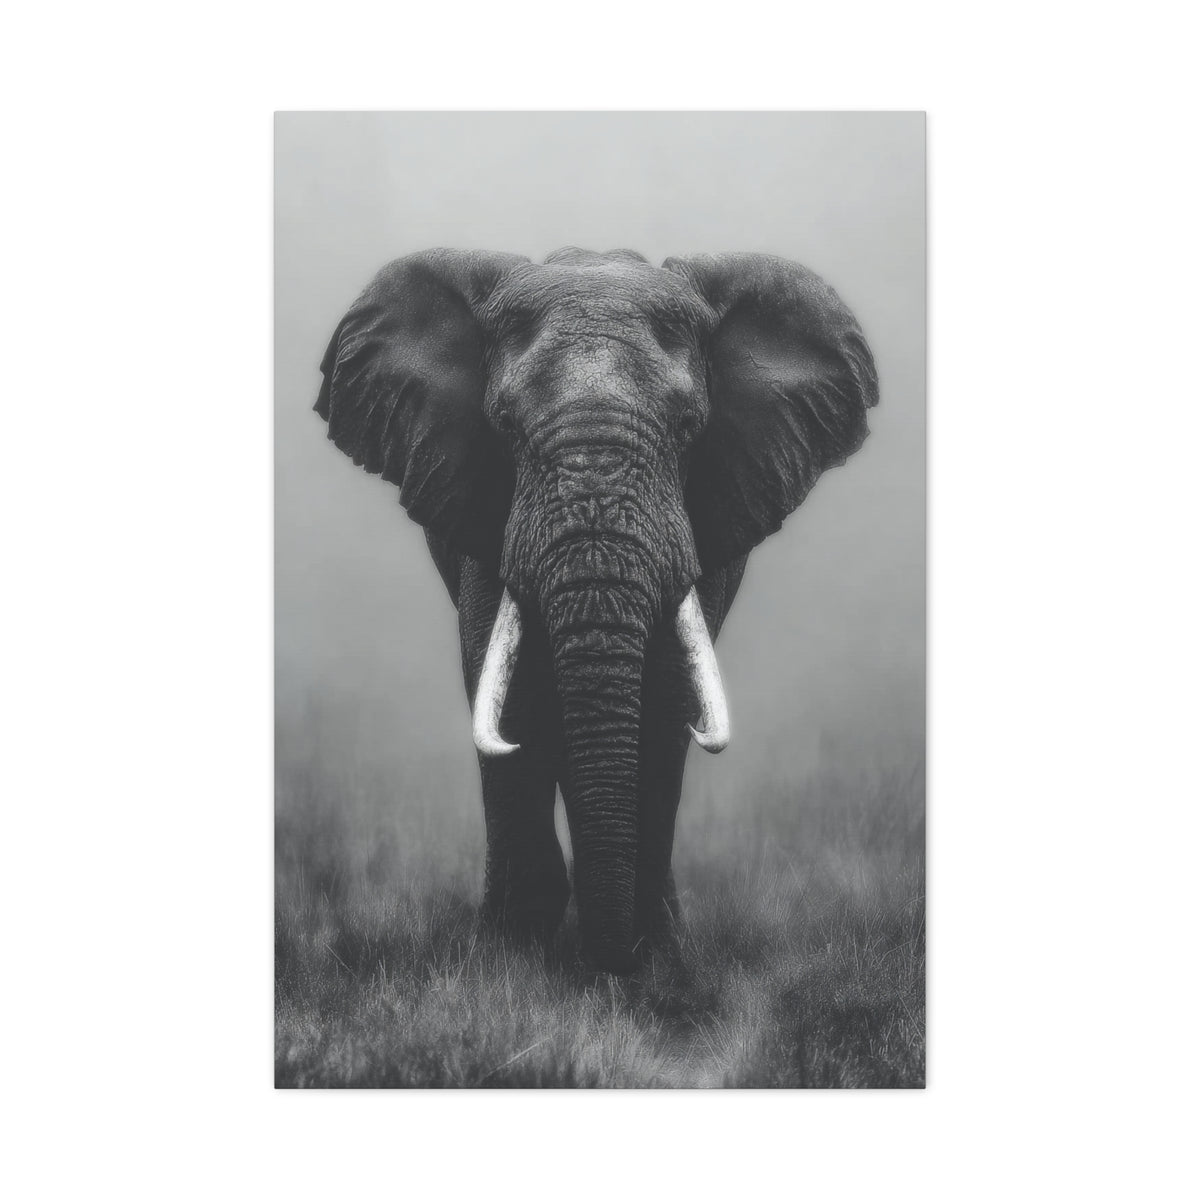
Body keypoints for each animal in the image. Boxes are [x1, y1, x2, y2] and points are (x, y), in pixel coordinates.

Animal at [315, 247, 878, 973]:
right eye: (503, 425)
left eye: (689, 428)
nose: (606, 964)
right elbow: (510, 694)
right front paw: (513, 954)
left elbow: (667, 702)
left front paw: (653, 959)